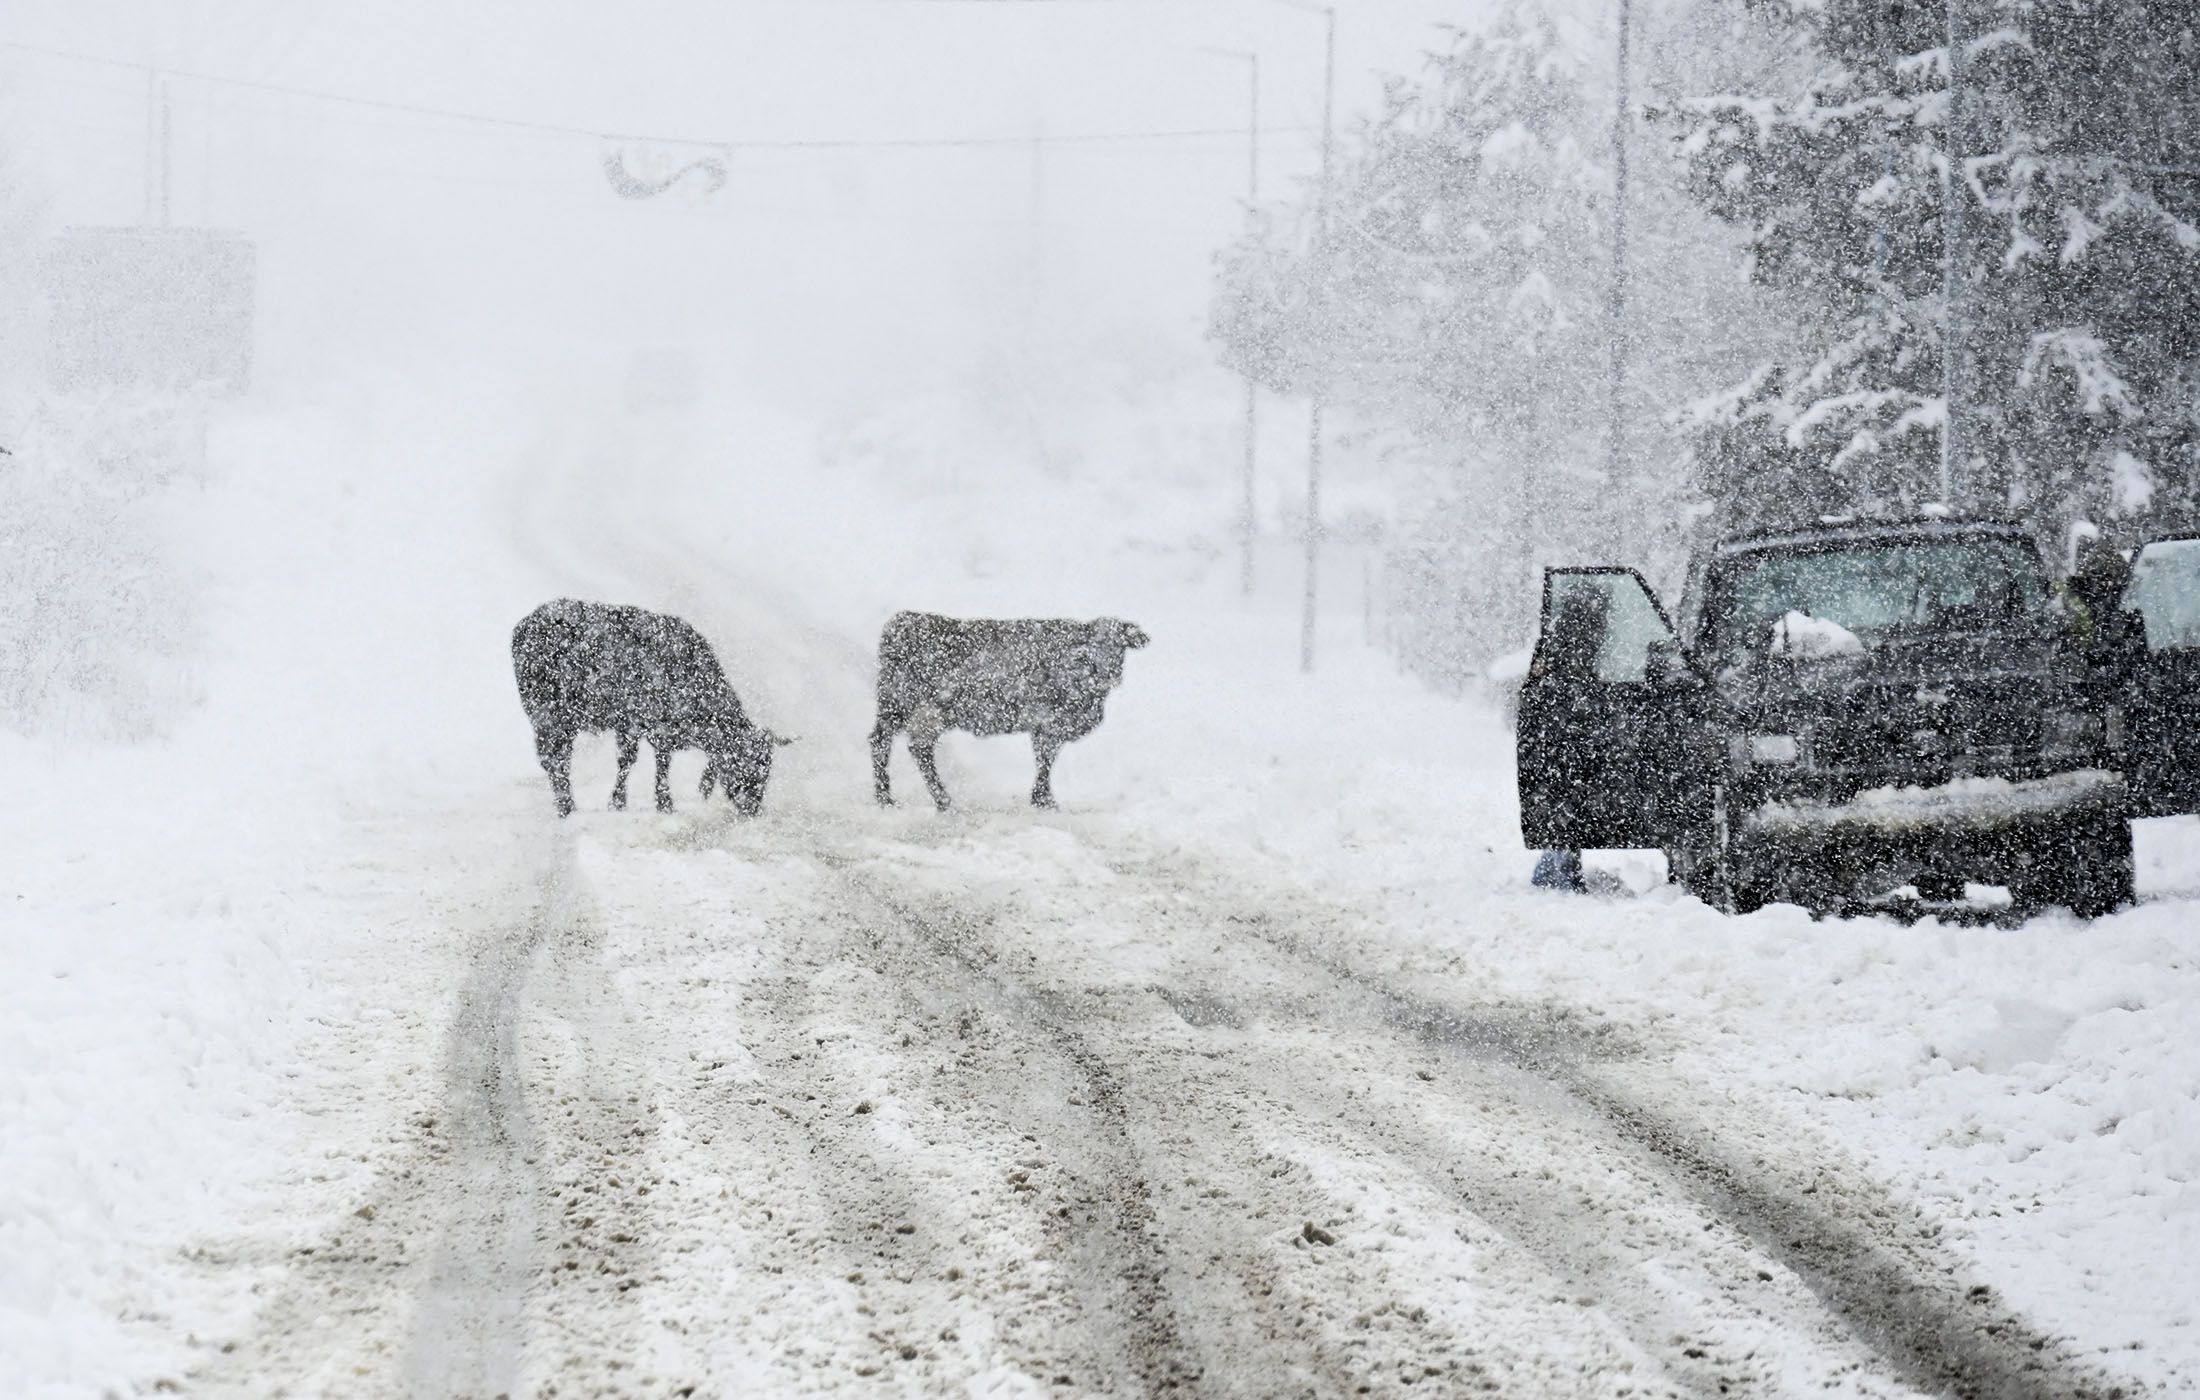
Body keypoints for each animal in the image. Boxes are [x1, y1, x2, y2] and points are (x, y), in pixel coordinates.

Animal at [508, 594, 792, 814]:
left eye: (768, 765)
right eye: (748, 763)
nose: (752, 808)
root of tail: (527, 622)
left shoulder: (642, 727)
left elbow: (641, 762)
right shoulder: (641, 722)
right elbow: (641, 762)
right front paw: (652, 803)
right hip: (548, 713)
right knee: (555, 759)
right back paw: (567, 807)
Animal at [871, 611, 1161, 810]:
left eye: (1120, 647)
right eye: (1090, 652)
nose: (1107, 677)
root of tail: (902, 621)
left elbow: (1045, 760)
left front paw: (1041, 798)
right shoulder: (1048, 723)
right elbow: (1045, 761)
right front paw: (1044, 800)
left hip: (895, 707)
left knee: (881, 741)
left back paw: (885, 797)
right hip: (925, 709)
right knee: (916, 748)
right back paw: (941, 801)